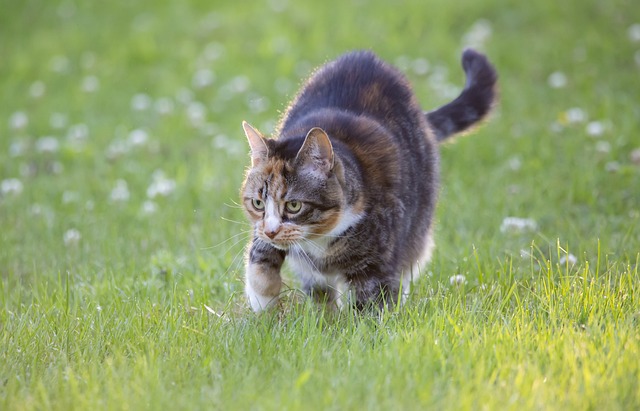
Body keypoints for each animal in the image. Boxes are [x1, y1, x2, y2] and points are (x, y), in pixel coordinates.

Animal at [241, 48, 500, 312]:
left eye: (294, 205)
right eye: (258, 204)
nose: (271, 232)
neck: (320, 239)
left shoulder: (377, 261)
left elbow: (372, 302)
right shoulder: (266, 235)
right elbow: (260, 257)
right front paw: (262, 300)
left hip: (417, 226)